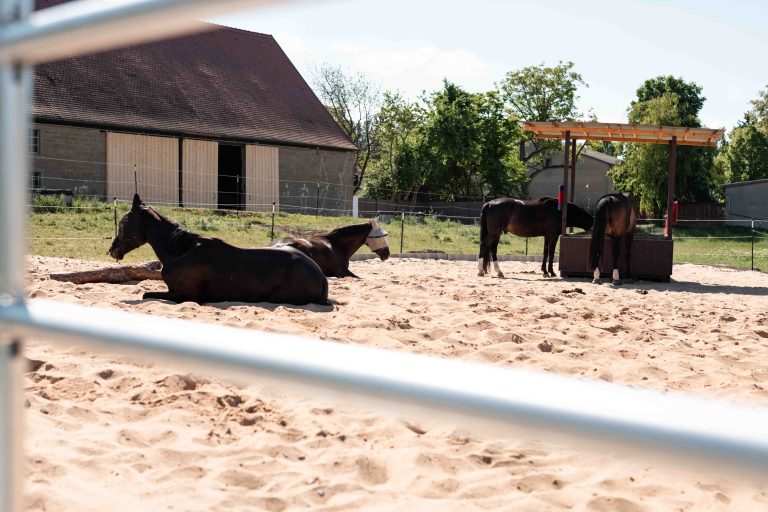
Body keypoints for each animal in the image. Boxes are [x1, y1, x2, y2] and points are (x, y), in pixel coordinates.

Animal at [109, 194, 329, 305]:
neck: (181, 250)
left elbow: (146, 295)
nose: (112, 250)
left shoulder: (182, 295)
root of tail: (321, 275)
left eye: (125, 222)